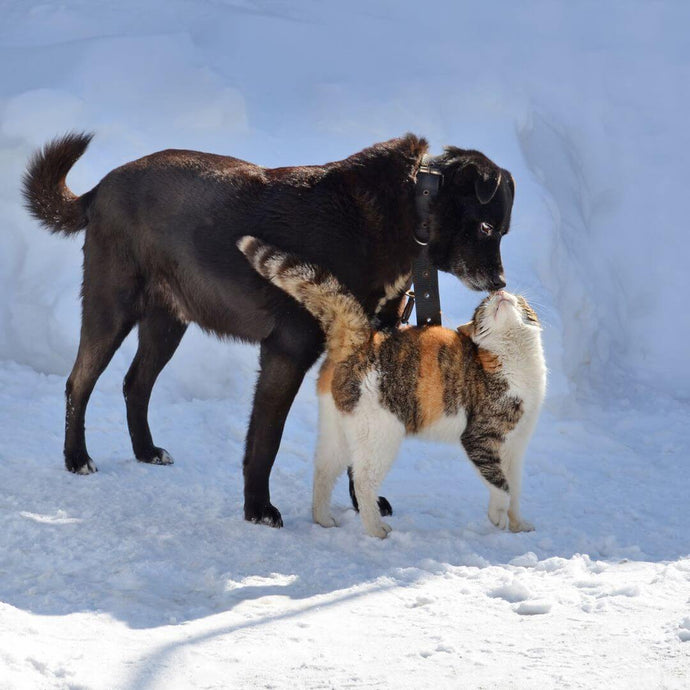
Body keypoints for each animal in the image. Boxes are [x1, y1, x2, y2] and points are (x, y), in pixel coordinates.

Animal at [21, 132, 512, 524]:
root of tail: (99, 189)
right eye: (488, 226)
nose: (501, 283)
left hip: (167, 322)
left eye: (504, 231)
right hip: (111, 308)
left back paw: (146, 451)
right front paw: (257, 509)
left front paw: (362, 502)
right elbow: (265, 441)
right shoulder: (287, 350)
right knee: (79, 383)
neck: (409, 209)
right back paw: (77, 458)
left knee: (134, 384)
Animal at [236, 236, 544, 536]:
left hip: (338, 429)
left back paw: (323, 519)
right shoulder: (480, 437)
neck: (513, 359)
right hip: (380, 433)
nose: (498, 294)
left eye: (518, 301)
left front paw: (518, 525)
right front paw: (497, 517)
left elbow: (514, 487)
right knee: (362, 481)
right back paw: (376, 530)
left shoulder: (515, 446)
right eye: (483, 309)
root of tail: (358, 338)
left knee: (323, 470)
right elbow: (500, 484)